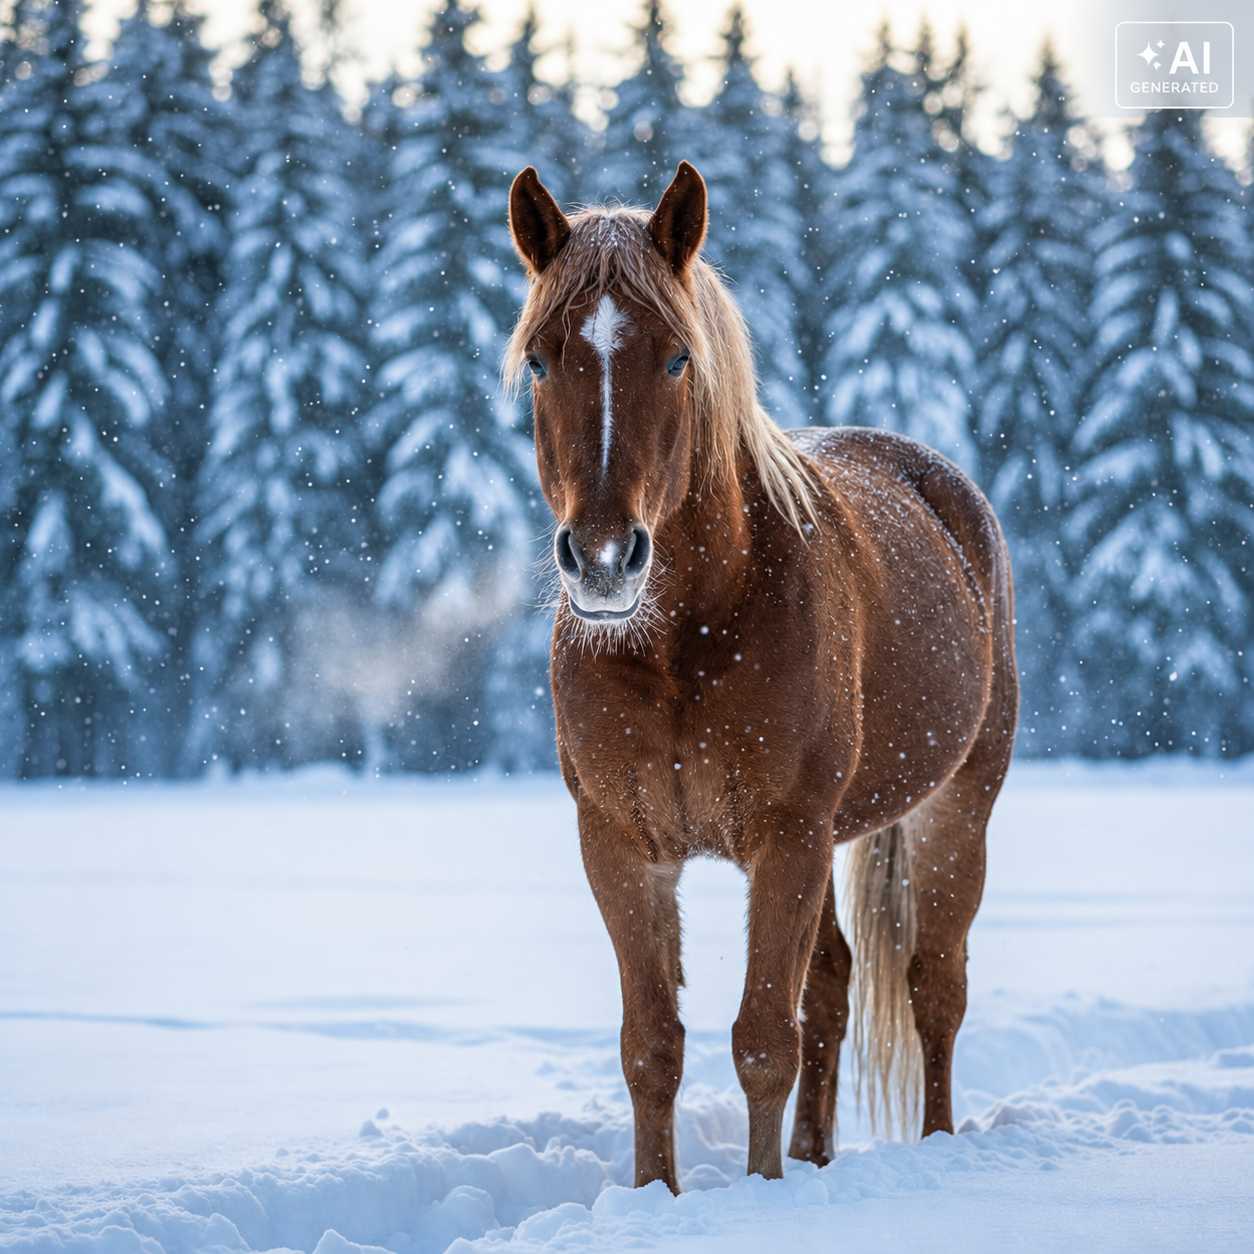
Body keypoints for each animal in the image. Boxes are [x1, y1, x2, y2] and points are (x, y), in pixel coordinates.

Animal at [504, 161, 1018, 1189]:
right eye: (539, 360)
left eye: (676, 360)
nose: (605, 560)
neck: (680, 642)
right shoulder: (619, 844)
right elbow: (652, 1045)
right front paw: (657, 1195)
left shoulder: (788, 838)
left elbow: (761, 1041)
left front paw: (760, 1190)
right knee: (835, 986)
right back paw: (817, 1158)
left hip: (955, 806)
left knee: (933, 986)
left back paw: (936, 1148)